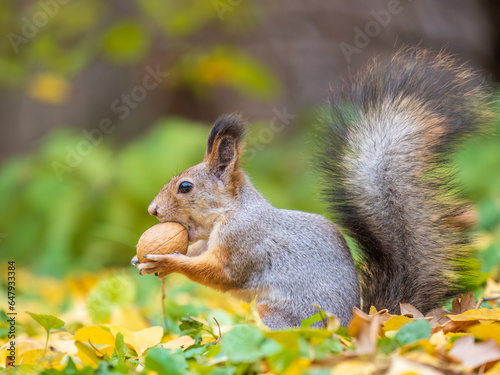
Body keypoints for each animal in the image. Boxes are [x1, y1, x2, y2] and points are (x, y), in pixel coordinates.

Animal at [133, 47, 488, 328]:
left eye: (185, 187)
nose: (152, 210)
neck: (231, 213)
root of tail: (356, 325)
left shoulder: (244, 244)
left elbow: (220, 274)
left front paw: (165, 261)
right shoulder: (209, 242)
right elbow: (197, 253)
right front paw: (149, 260)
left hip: (281, 314)